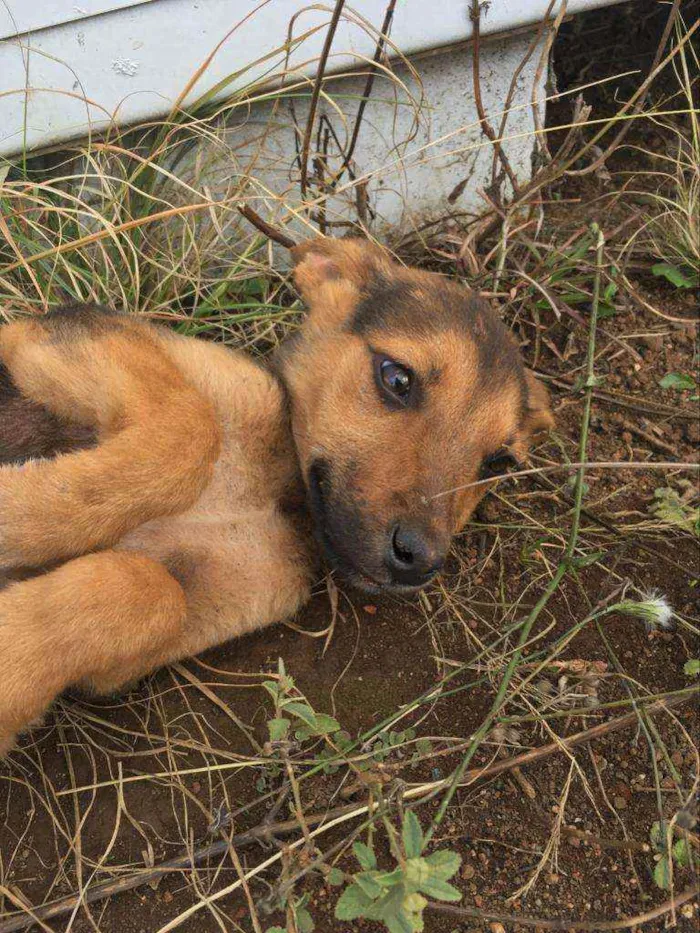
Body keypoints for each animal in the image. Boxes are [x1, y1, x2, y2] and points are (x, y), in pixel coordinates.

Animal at [0, 237, 552, 752]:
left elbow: (144, 588)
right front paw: (16, 511)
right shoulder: (55, 337)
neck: (280, 493)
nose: (419, 560)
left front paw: (13, 657)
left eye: (497, 463)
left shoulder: (193, 612)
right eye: (396, 377)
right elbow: (189, 429)